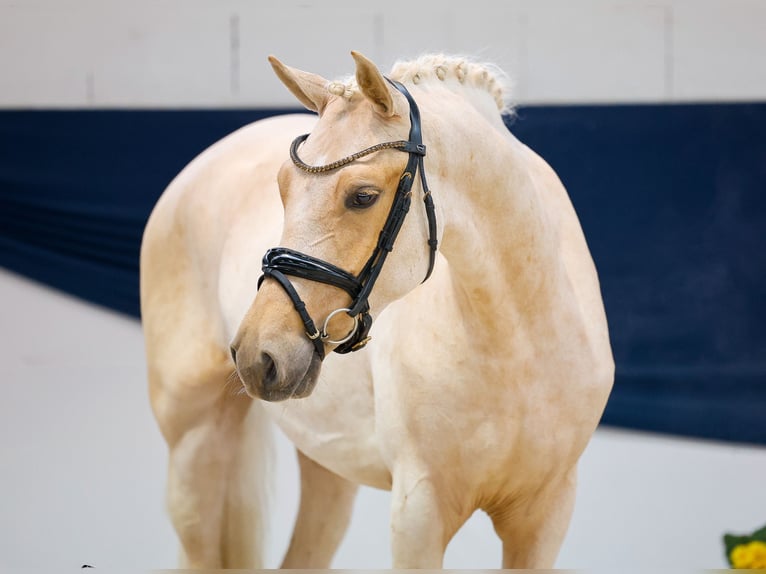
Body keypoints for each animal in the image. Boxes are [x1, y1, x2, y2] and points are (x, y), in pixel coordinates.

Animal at [141, 50, 616, 572]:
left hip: (327, 466)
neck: (517, 348)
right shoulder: (419, 512)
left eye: (362, 196)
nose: (257, 356)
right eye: (282, 188)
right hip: (193, 445)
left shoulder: (544, 516)